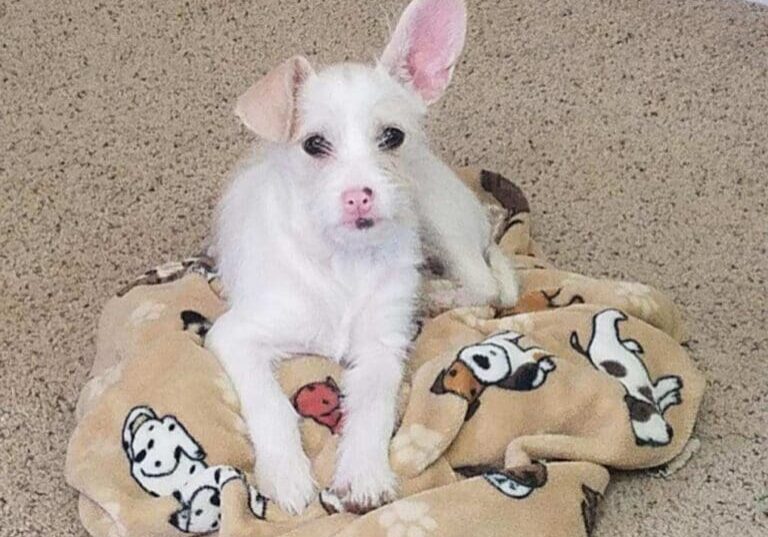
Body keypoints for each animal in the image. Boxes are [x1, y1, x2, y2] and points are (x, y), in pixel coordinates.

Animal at [206, 0, 516, 512]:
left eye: (391, 137)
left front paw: (365, 473)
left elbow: (372, 408)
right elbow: (270, 404)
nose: (359, 197)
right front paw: (287, 476)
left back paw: (433, 294)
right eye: (314, 144)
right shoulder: (236, 336)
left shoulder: (381, 350)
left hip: (436, 216)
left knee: (484, 283)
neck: (342, 262)